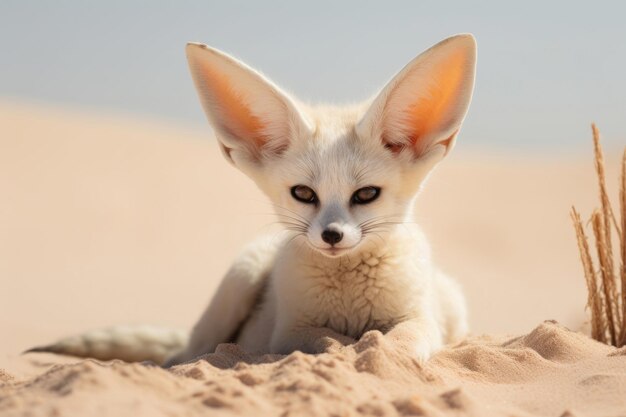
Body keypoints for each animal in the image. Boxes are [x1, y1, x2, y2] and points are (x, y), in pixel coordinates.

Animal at [29, 35, 472, 368]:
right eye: (303, 194)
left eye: (366, 195)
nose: (331, 236)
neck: (348, 294)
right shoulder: (289, 330)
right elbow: (329, 340)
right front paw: (350, 349)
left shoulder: (421, 318)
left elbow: (399, 340)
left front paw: (380, 356)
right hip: (240, 278)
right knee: (187, 352)